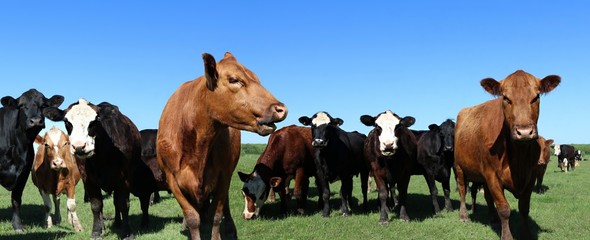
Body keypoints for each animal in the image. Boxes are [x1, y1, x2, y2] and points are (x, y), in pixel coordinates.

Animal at [0, 89, 64, 232]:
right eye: (22, 105)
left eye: (43, 105)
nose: (35, 120)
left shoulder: (23, 173)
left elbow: (16, 199)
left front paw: (17, 225)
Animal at [45, 98, 160, 239]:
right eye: (67, 122)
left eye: (95, 121)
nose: (79, 147)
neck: (102, 156)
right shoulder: (88, 179)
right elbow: (96, 205)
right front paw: (96, 231)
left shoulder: (124, 179)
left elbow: (123, 204)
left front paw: (127, 232)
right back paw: (103, 225)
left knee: (117, 203)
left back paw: (117, 222)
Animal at [156, 52, 288, 240]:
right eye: (234, 79)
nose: (281, 109)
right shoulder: (172, 178)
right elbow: (192, 217)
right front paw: (190, 224)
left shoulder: (223, 175)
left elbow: (216, 214)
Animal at [456, 70, 560, 240]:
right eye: (505, 98)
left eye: (536, 97)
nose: (524, 132)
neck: (519, 159)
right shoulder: (492, 176)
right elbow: (504, 209)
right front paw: (507, 236)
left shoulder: (530, 177)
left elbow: (524, 208)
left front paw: (526, 234)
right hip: (459, 168)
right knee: (462, 190)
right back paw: (464, 215)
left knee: (488, 197)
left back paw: (493, 219)